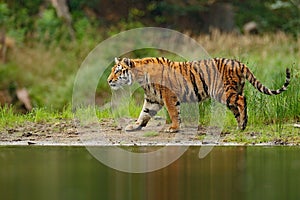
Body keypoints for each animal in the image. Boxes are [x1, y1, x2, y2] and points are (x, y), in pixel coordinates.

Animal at [106, 57, 290, 133]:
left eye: (117, 71)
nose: (108, 81)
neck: (140, 77)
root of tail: (239, 63)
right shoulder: (153, 99)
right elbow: (144, 114)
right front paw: (134, 126)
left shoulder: (168, 95)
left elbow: (173, 112)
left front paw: (173, 128)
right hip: (232, 92)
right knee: (237, 107)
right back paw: (240, 126)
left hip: (223, 92)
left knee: (242, 100)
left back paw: (243, 124)